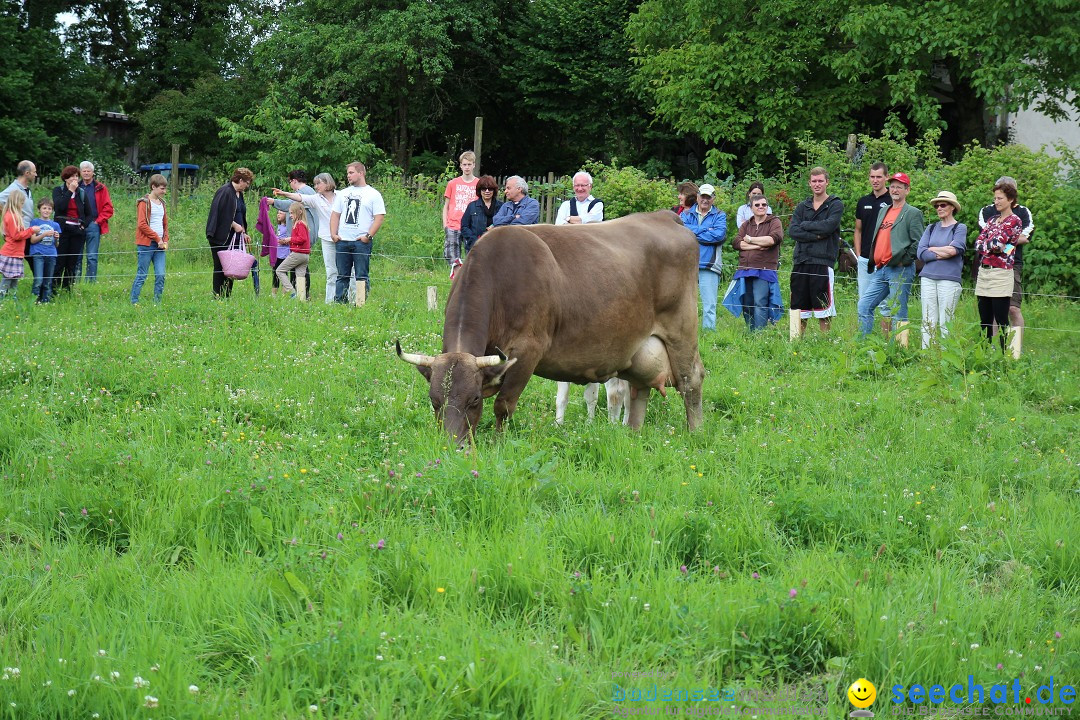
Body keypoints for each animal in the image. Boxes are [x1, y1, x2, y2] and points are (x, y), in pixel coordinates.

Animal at [399, 209, 708, 444]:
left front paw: (498, 443)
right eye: (434, 401)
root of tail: (665, 216)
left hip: (681, 331)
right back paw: (632, 434)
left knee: (691, 381)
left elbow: (503, 405)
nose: (453, 446)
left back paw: (695, 433)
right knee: (639, 388)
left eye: (473, 400)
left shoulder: (527, 352)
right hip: (640, 348)